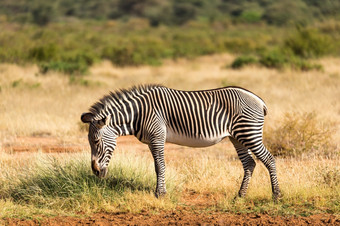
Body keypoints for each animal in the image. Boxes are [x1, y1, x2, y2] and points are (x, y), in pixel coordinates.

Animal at [81, 84, 280, 200]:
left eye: (96, 141)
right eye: (90, 142)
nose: (95, 172)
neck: (138, 113)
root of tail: (259, 100)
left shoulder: (157, 137)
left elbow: (160, 166)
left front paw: (160, 194)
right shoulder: (151, 141)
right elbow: (157, 166)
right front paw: (160, 191)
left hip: (249, 133)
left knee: (269, 159)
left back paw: (276, 195)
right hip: (237, 137)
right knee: (250, 163)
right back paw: (240, 196)